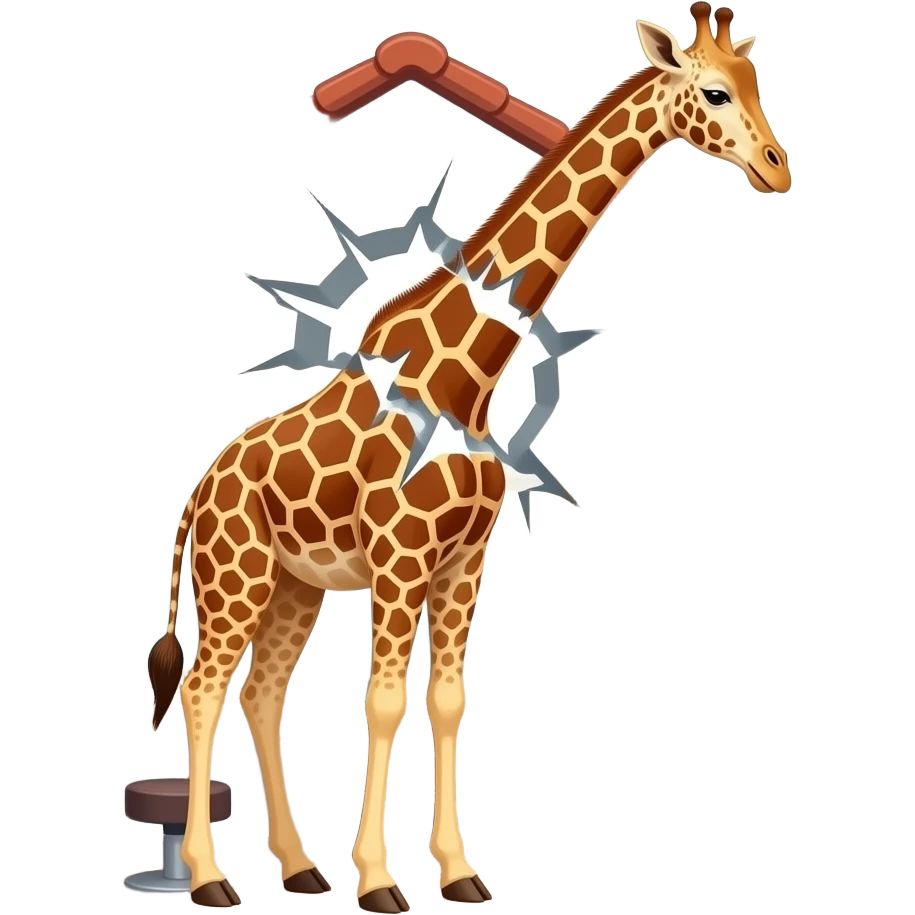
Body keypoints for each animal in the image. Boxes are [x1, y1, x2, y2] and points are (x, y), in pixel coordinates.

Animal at [144, 5, 788, 911]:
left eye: (755, 83)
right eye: (712, 91)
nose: (775, 168)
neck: (463, 378)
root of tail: (197, 492)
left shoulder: (463, 562)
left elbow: (447, 702)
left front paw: (456, 873)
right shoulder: (400, 559)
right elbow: (382, 703)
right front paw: (380, 881)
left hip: (296, 585)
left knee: (262, 694)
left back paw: (299, 868)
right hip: (238, 574)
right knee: (204, 689)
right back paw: (209, 878)